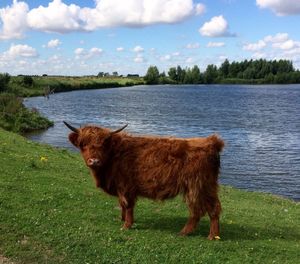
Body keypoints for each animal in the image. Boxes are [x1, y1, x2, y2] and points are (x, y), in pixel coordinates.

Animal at [64, 121, 224, 239]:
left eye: (103, 144)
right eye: (83, 144)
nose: (94, 161)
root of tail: (211, 142)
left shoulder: (126, 186)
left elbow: (127, 205)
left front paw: (126, 225)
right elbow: (122, 204)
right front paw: (122, 219)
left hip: (197, 186)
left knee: (201, 210)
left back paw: (198, 234)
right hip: (206, 186)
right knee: (211, 208)